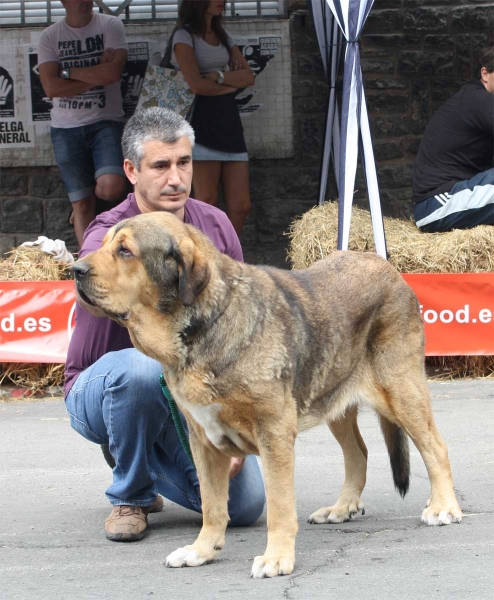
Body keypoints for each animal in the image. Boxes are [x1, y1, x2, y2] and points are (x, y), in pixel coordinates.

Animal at [73, 213, 464, 580]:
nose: (75, 270)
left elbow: (278, 507)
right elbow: (213, 506)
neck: (206, 324)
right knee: (359, 453)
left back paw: (444, 506)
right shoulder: (202, 440)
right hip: (333, 399)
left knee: (436, 447)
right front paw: (201, 550)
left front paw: (277, 558)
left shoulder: (273, 432)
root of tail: (386, 266)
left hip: (400, 389)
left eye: (125, 251)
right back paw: (342, 507)